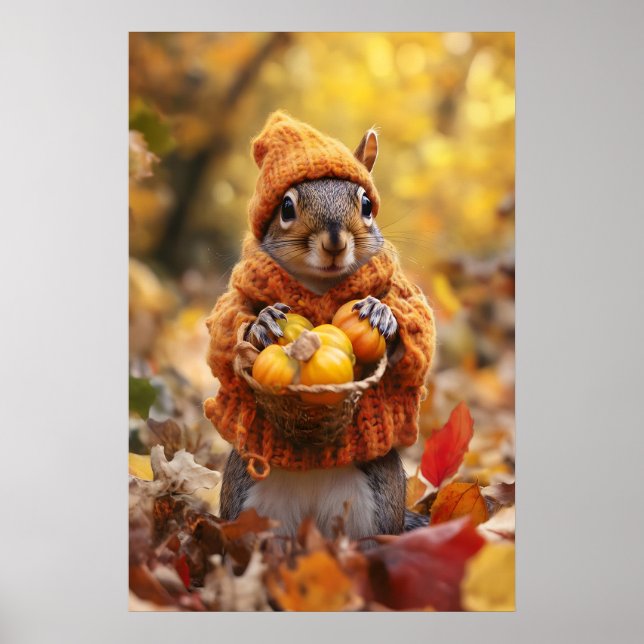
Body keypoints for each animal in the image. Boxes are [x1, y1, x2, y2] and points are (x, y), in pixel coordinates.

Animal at [205, 111, 435, 540]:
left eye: (366, 204)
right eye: (286, 207)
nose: (334, 242)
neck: (320, 286)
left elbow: (417, 344)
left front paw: (382, 313)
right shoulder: (236, 298)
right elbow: (225, 333)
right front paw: (261, 323)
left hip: (378, 502)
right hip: (247, 497)